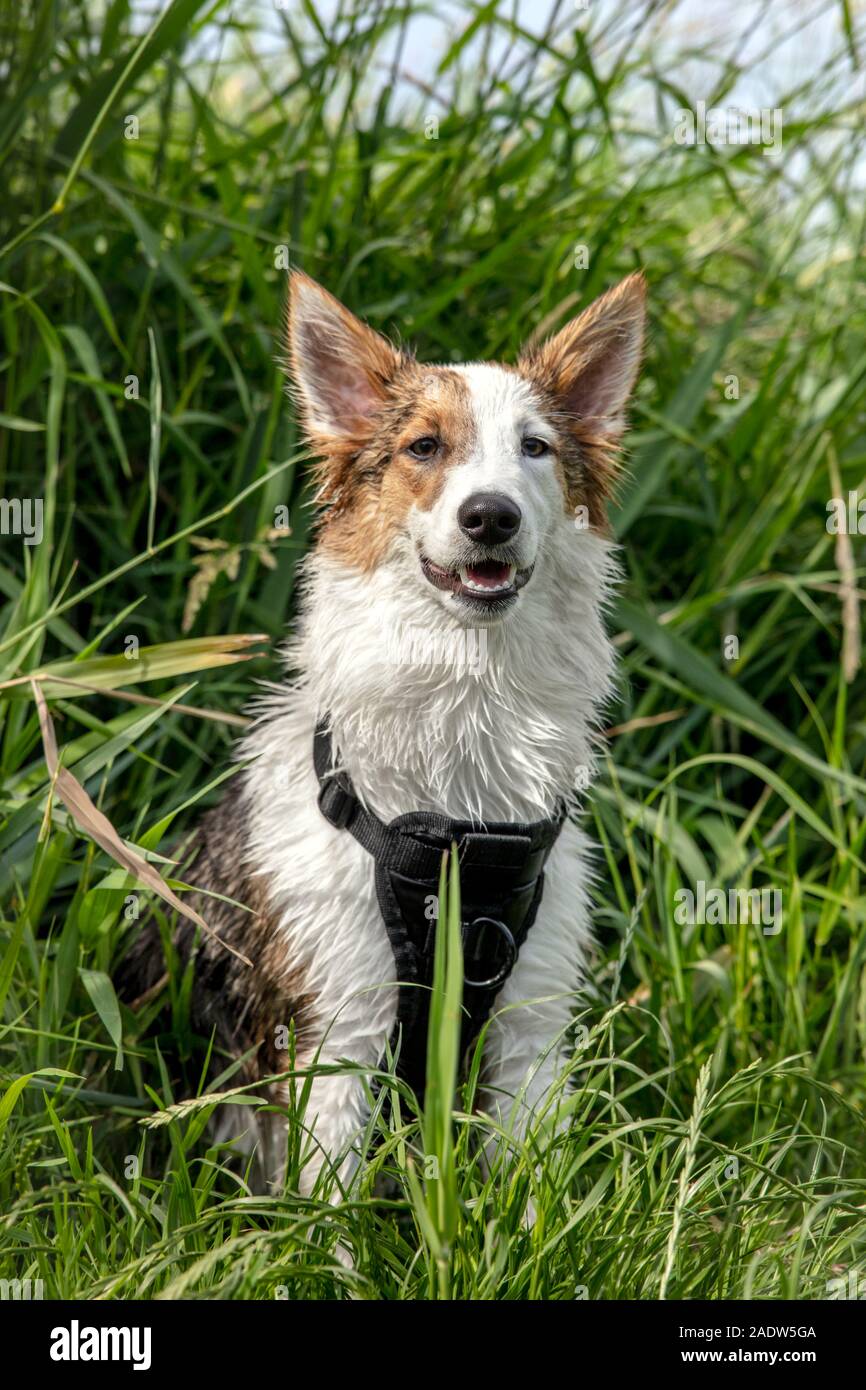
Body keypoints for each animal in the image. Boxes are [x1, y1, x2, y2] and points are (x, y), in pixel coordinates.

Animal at [123, 268, 650, 1195]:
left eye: (537, 448)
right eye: (423, 447)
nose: (490, 516)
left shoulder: (531, 1030)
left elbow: (532, 1191)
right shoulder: (336, 1031)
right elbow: (327, 1206)